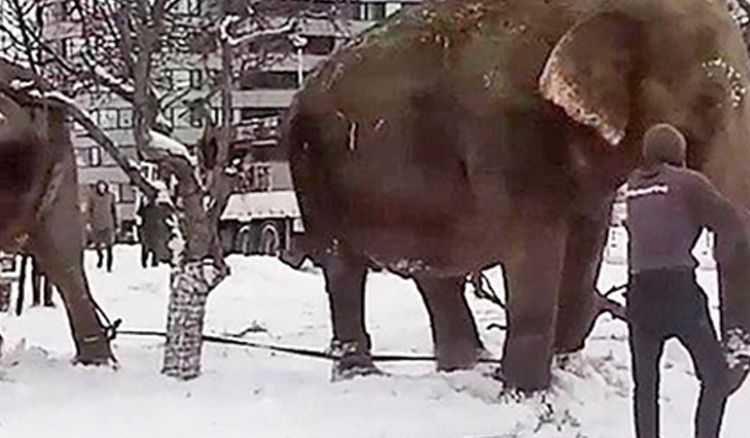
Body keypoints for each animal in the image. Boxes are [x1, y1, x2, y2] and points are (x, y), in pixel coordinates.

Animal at [284, 0, 750, 390]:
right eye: (711, 100)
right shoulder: (508, 134)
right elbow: (535, 246)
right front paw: (525, 393)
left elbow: (586, 244)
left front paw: (564, 371)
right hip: (314, 172)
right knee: (343, 267)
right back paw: (361, 375)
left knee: (436, 272)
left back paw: (468, 366)